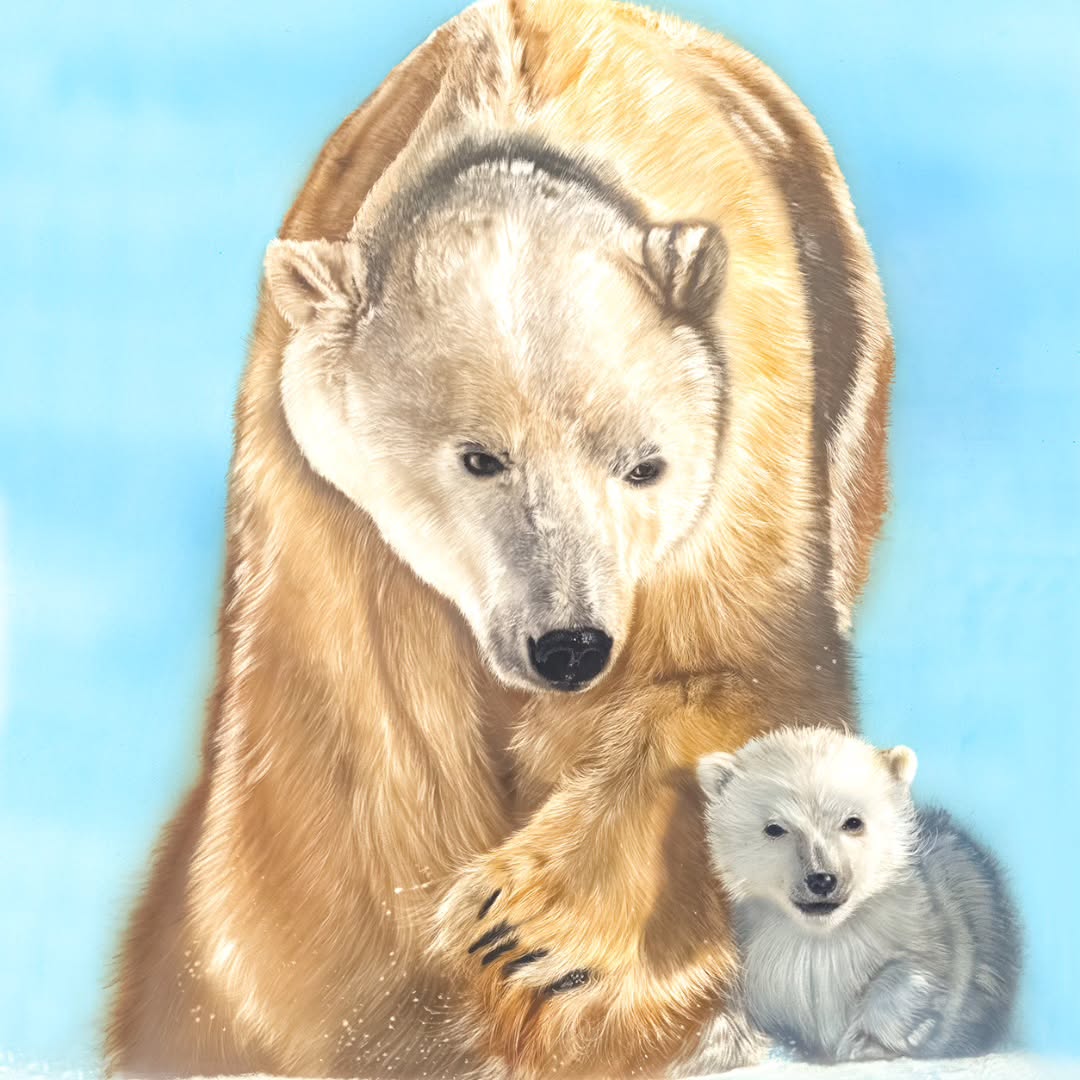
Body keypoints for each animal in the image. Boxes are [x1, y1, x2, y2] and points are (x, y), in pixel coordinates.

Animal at [105, 1, 894, 1077]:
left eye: (644, 465)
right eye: (480, 458)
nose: (569, 646)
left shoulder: (749, 427)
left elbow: (739, 672)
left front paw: (530, 930)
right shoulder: (326, 519)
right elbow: (339, 778)